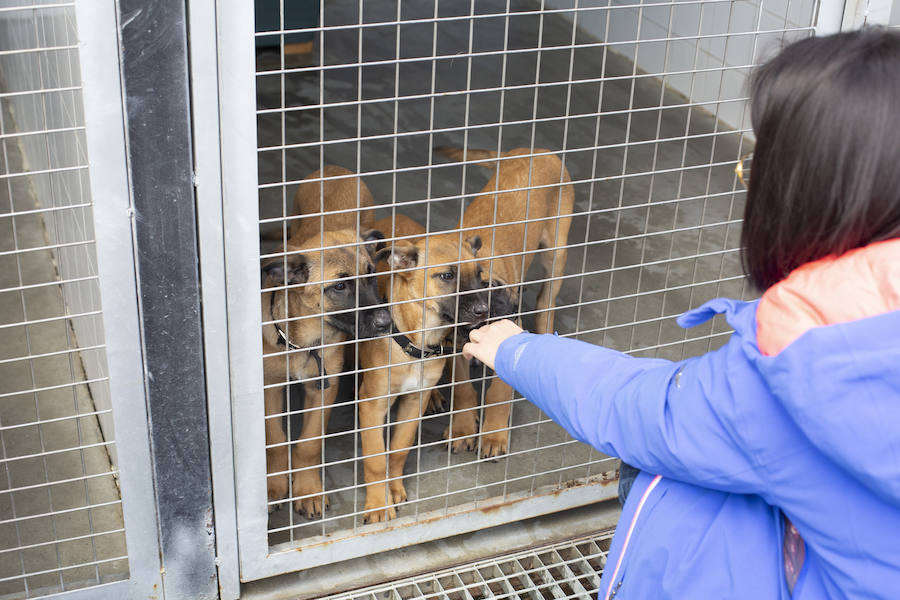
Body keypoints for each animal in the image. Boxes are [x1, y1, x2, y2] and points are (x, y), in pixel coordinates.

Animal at [258, 166, 388, 516]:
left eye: (370, 275)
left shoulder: (324, 387)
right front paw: (275, 486)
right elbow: (276, 440)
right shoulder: (269, 387)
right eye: (339, 287)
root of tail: (335, 170)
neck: (304, 341)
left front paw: (308, 491)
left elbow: (309, 444)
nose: (386, 323)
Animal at [356, 214, 488, 520]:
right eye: (447, 276)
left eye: (479, 274)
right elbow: (375, 459)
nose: (484, 311)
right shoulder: (372, 404)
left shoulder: (414, 400)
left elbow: (398, 449)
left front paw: (394, 489)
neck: (416, 344)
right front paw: (378, 504)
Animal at [436, 148, 576, 458]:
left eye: (492, 289)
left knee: (545, 300)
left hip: (555, 252)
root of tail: (538, 150)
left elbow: (498, 393)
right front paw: (463, 427)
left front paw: (493, 436)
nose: (486, 311)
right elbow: (462, 389)